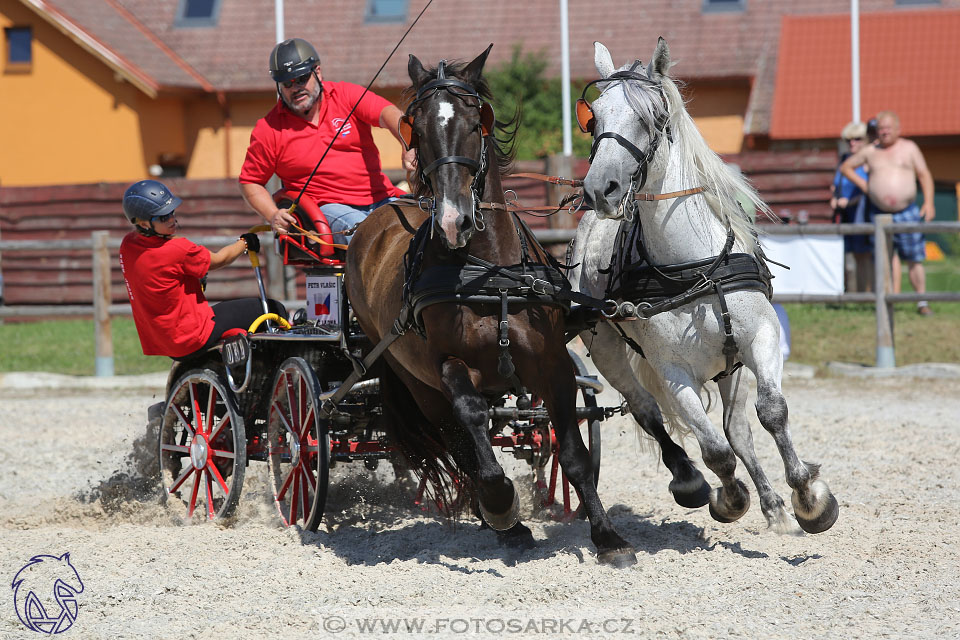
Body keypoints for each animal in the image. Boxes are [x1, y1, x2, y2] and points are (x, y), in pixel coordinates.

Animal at [344, 46, 636, 564]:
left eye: (473, 121)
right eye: (416, 128)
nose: (453, 220)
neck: (490, 274)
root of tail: (373, 221)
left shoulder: (555, 365)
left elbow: (574, 456)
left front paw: (608, 537)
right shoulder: (445, 366)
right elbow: (473, 424)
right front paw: (501, 503)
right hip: (417, 384)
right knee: (460, 443)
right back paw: (498, 516)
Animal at [568, 37, 840, 532]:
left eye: (652, 117)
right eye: (593, 117)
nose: (600, 189)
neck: (693, 269)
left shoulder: (762, 337)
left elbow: (771, 413)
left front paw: (809, 497)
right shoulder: (673, 372)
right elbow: (714, 450)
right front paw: (729, 499)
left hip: (730, 364)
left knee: (739, 429)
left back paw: (774, 507)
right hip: (607, 351)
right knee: (648, 410)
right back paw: (690, 480)